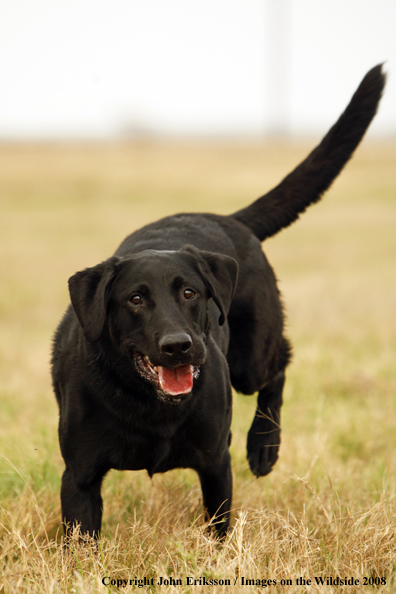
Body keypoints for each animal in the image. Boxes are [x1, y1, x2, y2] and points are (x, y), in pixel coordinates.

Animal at [51, 65, 386, 536]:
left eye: (190, 293)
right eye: (135, 299)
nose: (178, 346)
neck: (149, 404)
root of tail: (229, 218)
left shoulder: (214, 463)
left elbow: (220, 528)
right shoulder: (79, 478)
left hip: (251, 358)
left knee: (280, 364)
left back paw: (264, 447)